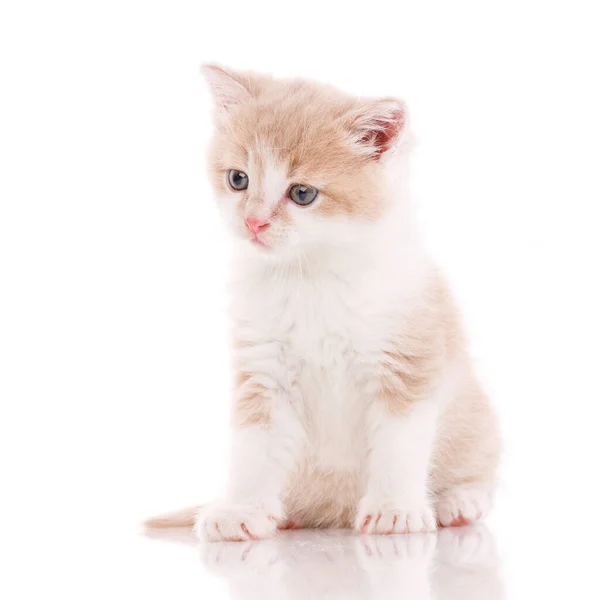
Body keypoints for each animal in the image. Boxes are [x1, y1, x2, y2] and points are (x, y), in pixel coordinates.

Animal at [145, 65, 502, 544]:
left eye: (302, 194)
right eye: (238, 179)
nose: (253, 222)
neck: (309, 275)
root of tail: (331, 512)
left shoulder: (408, 360)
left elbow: (399, 445)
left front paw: (394, 510)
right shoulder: (264, 370)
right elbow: (254, 448)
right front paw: (240, 509)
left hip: (474, 415)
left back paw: (458, 502)